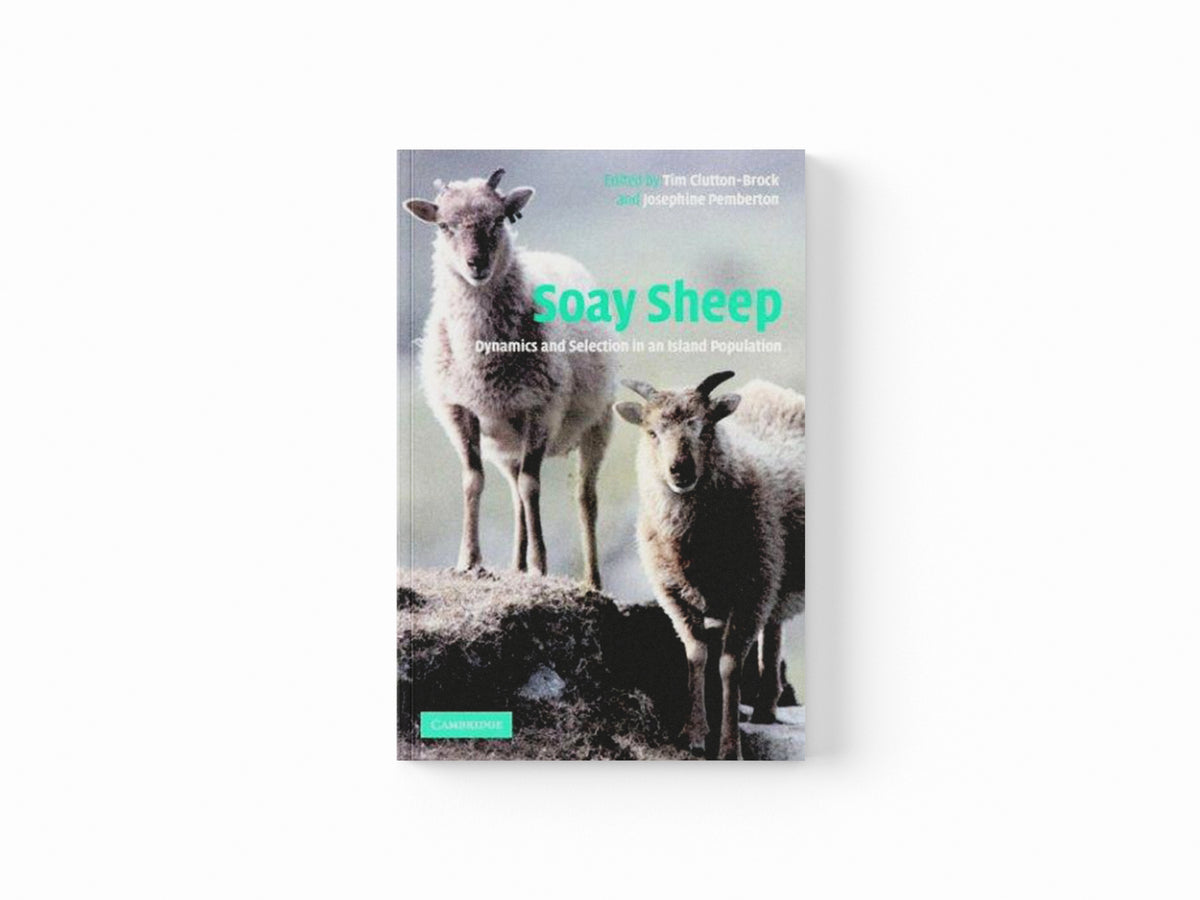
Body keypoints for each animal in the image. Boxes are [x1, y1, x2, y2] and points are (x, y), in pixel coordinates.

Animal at [404, 168, 616, 589]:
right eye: (444, 226)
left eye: (498, 220)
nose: (476, 264)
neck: (483, 361)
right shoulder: (459, 409)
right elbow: (473, 481)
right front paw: (469, 560)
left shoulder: (541, 408)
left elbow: (533, 486)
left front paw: (539, 564)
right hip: (504, 440)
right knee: (515, 494)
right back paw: (515, 565)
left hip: (598, 422)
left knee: (584, 498)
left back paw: (592, 579)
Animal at [615, 370, 805, 759]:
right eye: (652, 432)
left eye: (705, 428)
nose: (680, 470)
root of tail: (771, 390)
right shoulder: (674, 595)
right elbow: (696, 655)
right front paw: (694, 733)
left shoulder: (750, 590)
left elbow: (729, 666)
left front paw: (729, 747)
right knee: (774, 626)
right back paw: (765, 708)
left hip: (770, 568)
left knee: (773, 628)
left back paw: (765, 705)